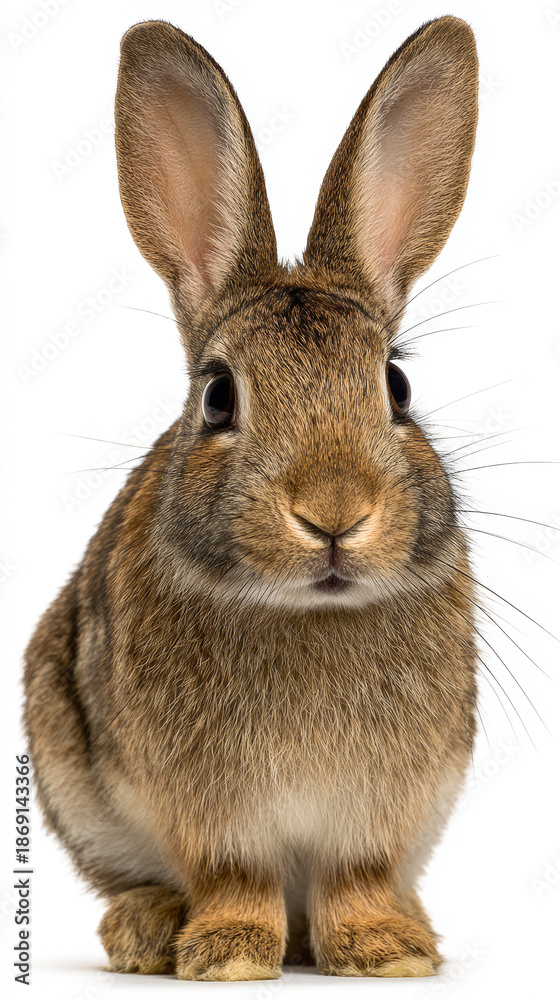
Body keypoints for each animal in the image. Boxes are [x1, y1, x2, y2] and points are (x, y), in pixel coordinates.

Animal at [24, 15, 480, 981]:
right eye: (218, 397)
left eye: (396, 387)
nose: (335, 513)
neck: (308, 609)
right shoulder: (210, 812)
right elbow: (236, 876)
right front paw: (228, 954)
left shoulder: (381, 812)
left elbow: (357, 877)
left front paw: (385, 952)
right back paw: (148, 931)